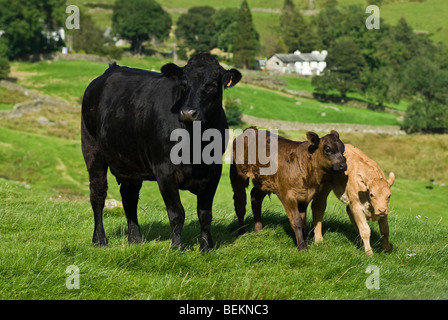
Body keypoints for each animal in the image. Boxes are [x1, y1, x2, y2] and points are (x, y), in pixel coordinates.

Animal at [80, 53, 242, 251]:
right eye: (183, 84)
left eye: (212, 85)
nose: (188, 113)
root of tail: (111, 70)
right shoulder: (164, 170)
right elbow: (177, 212)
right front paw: (177, 247)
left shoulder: (213, 171)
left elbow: (205, 214)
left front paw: (205, 247)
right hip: (92, 150)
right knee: (98, 194)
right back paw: (100, 240)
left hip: (130, 162)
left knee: (129, 197)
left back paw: (135, 239)